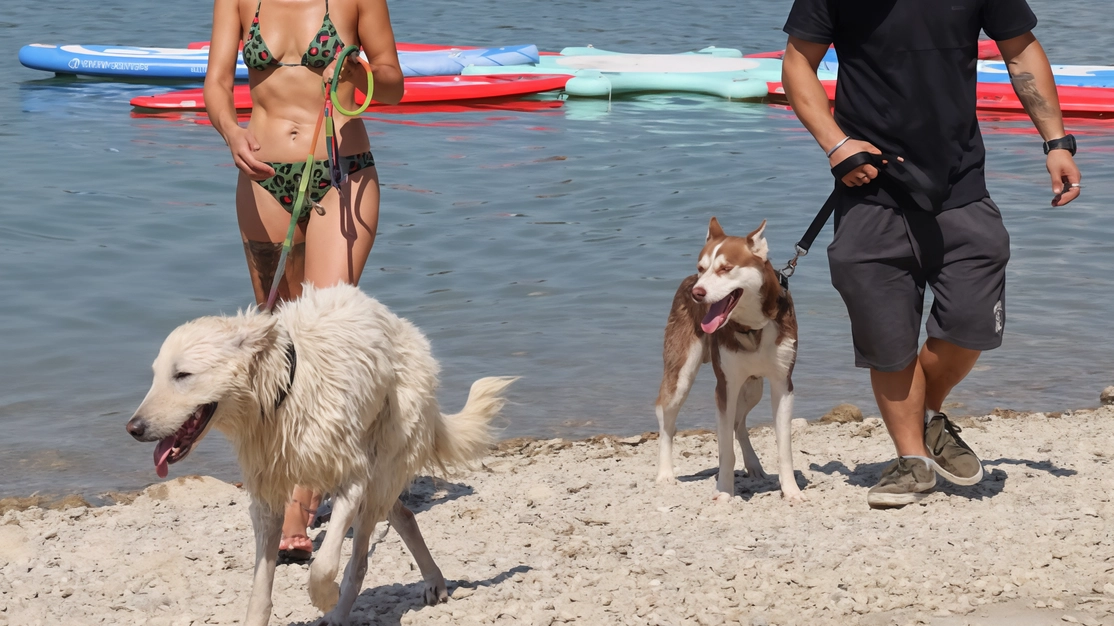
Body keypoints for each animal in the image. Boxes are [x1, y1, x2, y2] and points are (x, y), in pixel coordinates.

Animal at [127, 284, 516, 623]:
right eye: (156, 375)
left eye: (182, 374)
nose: (133, 428)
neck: (283, 390)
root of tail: (409, 331)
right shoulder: (267, 501)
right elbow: (260, 590)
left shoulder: (352, 480)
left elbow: (324, 565)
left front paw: (324, 597)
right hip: (379, 480)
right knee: (405, 516)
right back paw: (435, 581)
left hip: (380, 467)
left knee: (360, 561)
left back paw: (339, 614)